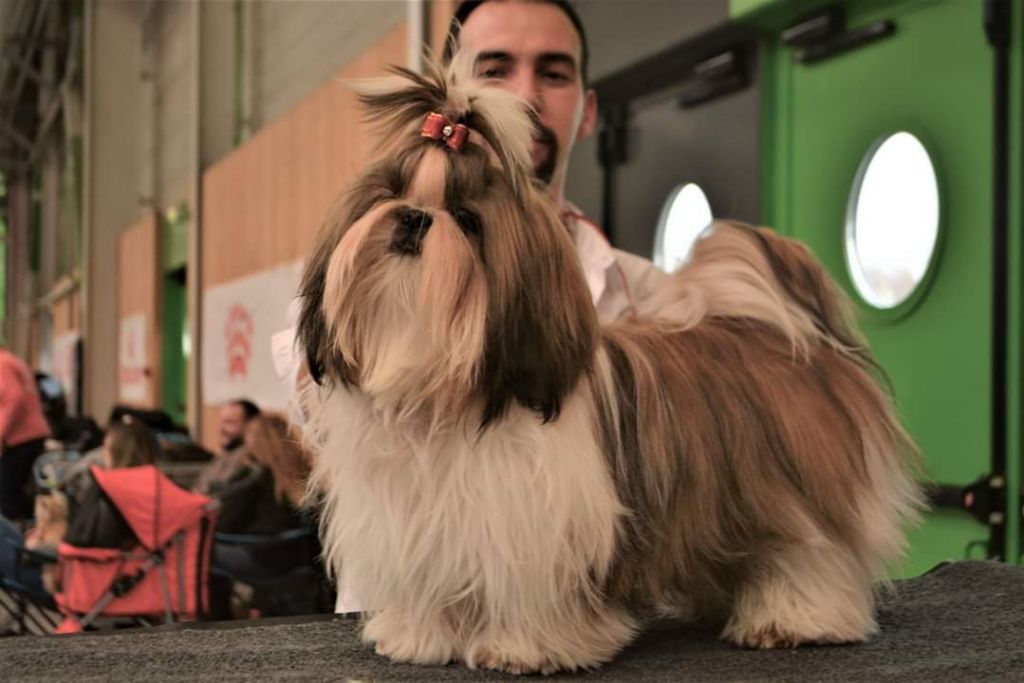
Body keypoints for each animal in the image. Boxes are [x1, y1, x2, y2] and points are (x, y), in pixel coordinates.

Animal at [292, 56, 925, 675]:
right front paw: (418, 637)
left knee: (813, 553)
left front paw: (525, 649)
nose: (413, 218)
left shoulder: (537, 530)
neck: (443, 392)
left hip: (795, 496)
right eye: (390, 193)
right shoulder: (417, 527)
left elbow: (529, 595)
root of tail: (774, 327)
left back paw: (796, 620)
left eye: (468, 220)